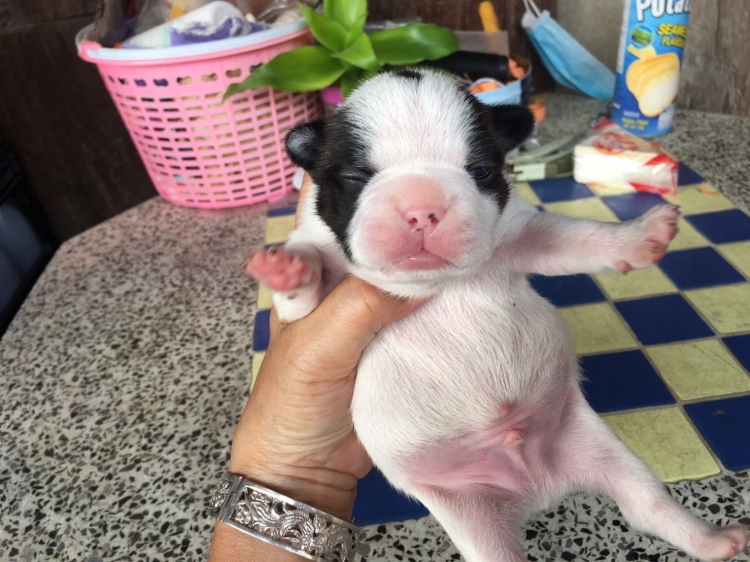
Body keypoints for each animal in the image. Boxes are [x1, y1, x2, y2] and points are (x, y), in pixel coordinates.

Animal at [246, 69, 748, 562]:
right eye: (354, 176)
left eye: (481, 171)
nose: (422, 209)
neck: (436, 285)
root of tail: (537, 487)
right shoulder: (319, 298)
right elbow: (304, 292)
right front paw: (287, 267)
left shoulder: (523, 233)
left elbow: (578, 237)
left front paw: (637, 237)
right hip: (474, 516)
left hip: (599, 449)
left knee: (647, 502)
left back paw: (714, 540)